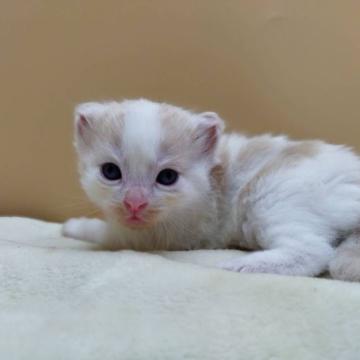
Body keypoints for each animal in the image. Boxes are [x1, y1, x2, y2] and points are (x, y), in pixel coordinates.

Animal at [63, 99, 360, 282]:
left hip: (270, 199)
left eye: (167, 177)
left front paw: (73, 226)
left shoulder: (160, 236)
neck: (211, 178)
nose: (135, 203)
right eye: (111, 172)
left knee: (314, 251)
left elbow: (106, 234)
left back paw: (241, 264)